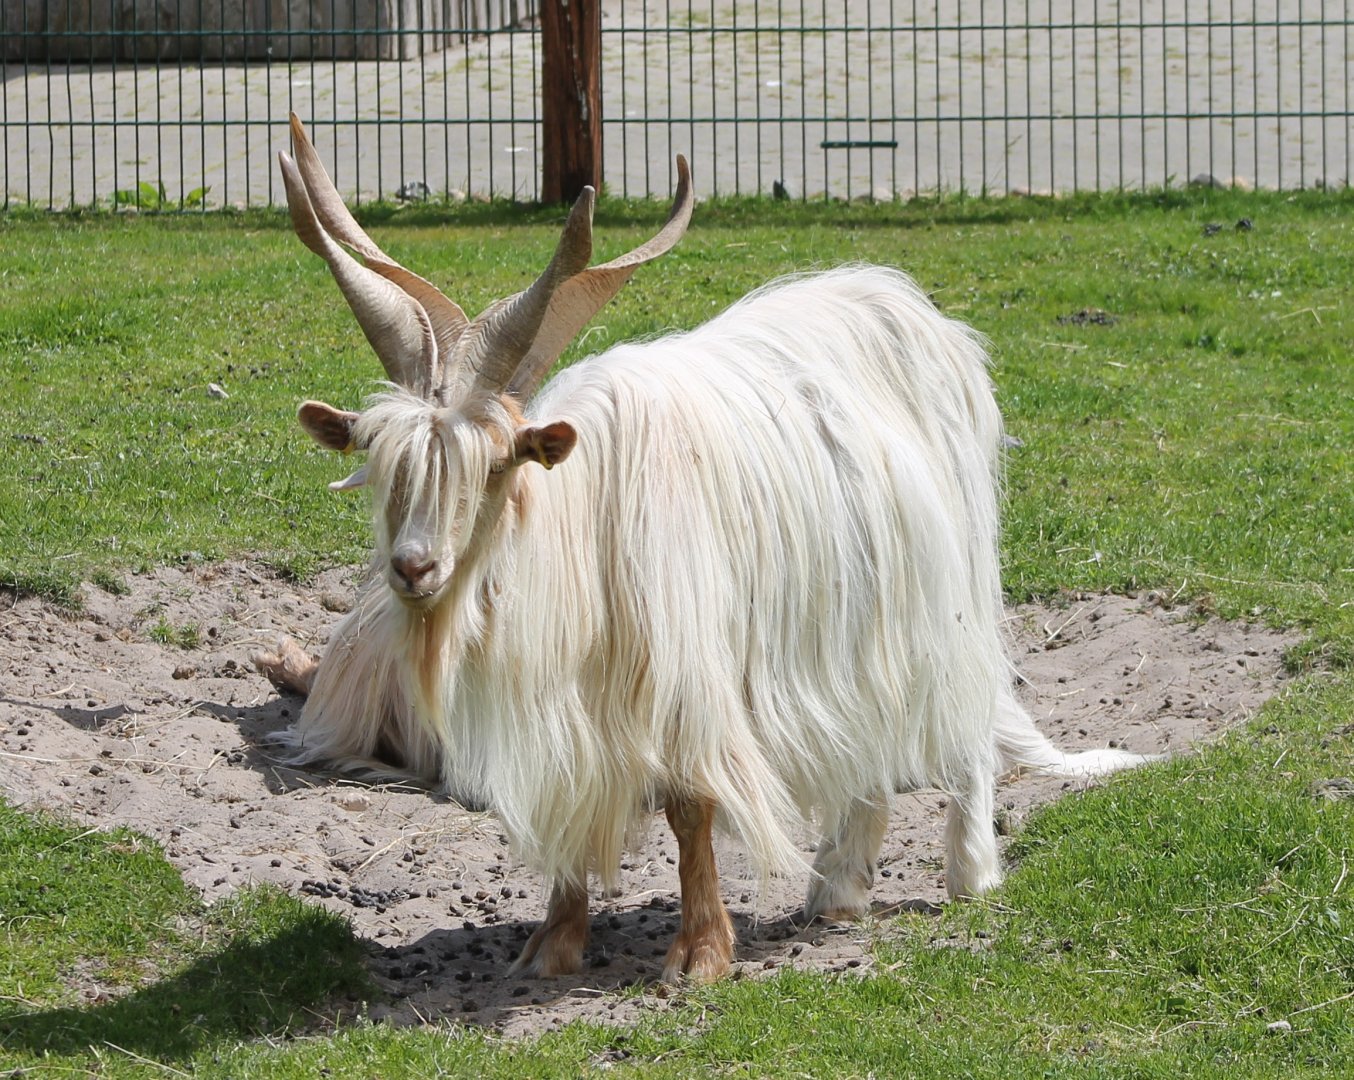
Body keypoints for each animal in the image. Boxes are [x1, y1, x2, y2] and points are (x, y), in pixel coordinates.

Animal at [255, 114, 1148, 983]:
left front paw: (703, 954)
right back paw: (839, 891)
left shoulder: (686, 669)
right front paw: (554, 944)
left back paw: (968, 874)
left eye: (498, 465)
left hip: (945, 589)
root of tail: (906, 303)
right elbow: (574, 803)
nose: (415, 568)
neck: (579, 522)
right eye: (384, 464)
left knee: (958, 721)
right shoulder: (575, 707)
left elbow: (691, 808)